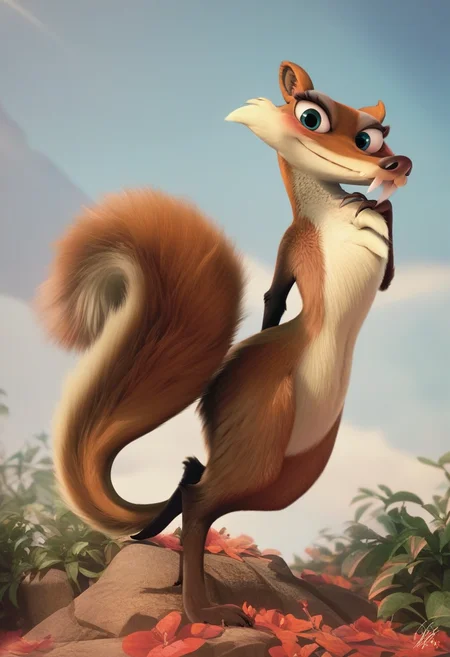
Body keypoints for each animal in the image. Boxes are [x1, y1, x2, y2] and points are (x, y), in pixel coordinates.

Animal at [36, 61, 412, 628]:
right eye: (311, 116)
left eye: (371, 135)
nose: (395, 163)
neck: (329, 216)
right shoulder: (295, 245)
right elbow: (275, 299)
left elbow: (377, 264)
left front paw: (375, 206)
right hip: (263, 431)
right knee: (198, 501)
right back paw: (201, 612)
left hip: (290, 473)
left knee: (200, 489)